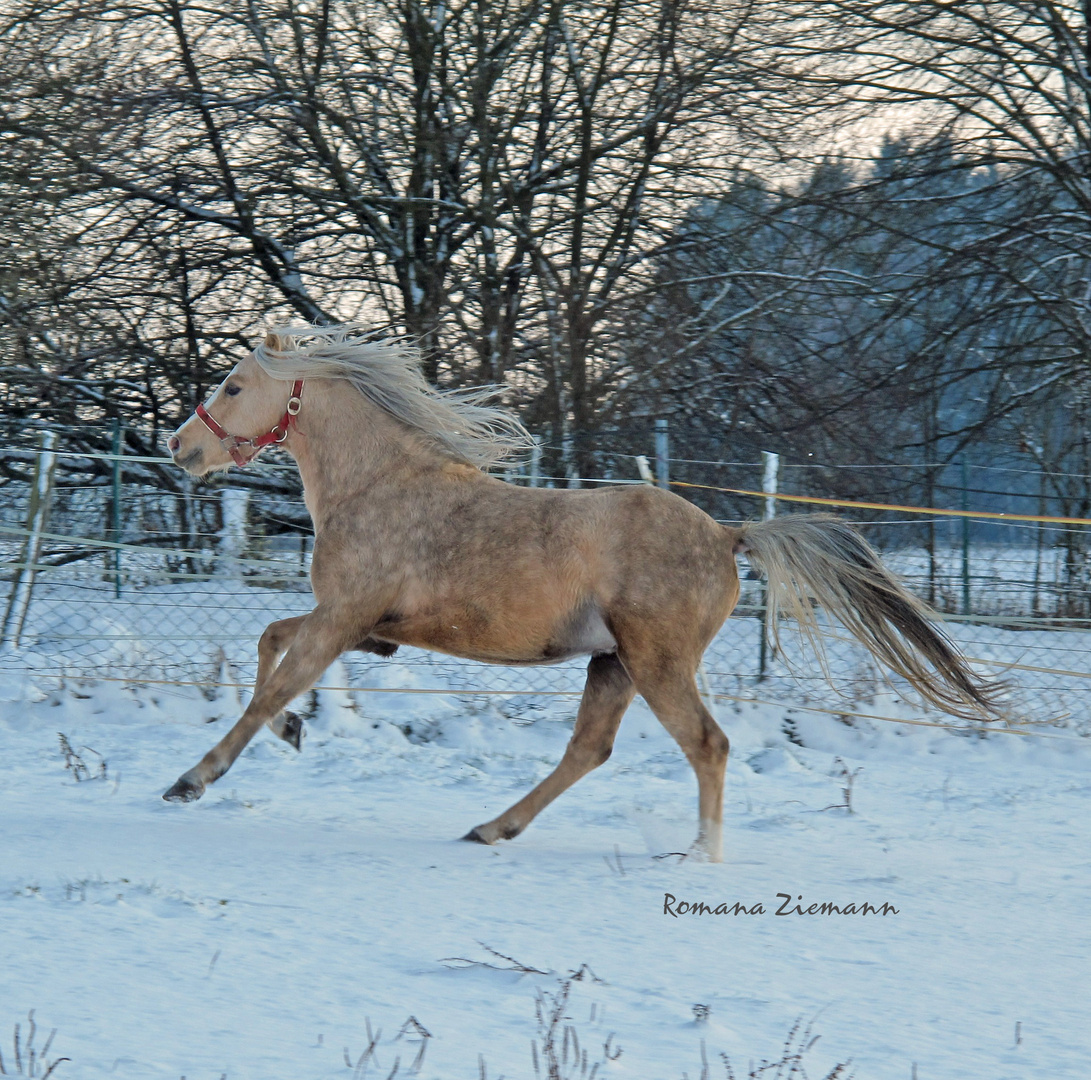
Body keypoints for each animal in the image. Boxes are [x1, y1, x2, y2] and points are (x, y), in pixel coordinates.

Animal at [165, 325, 999, 868]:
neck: (381, 488)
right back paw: (490, 830)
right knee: (588, 750)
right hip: (613, 663)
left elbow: (266, 691)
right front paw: (294, 733)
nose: (180, 447)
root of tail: (728, 534)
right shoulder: (363, 629)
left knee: (705, 745)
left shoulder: (344, 620)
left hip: (657, 664)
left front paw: (191, 781)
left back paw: (696, 856)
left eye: (234, 385)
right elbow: (270, 647)